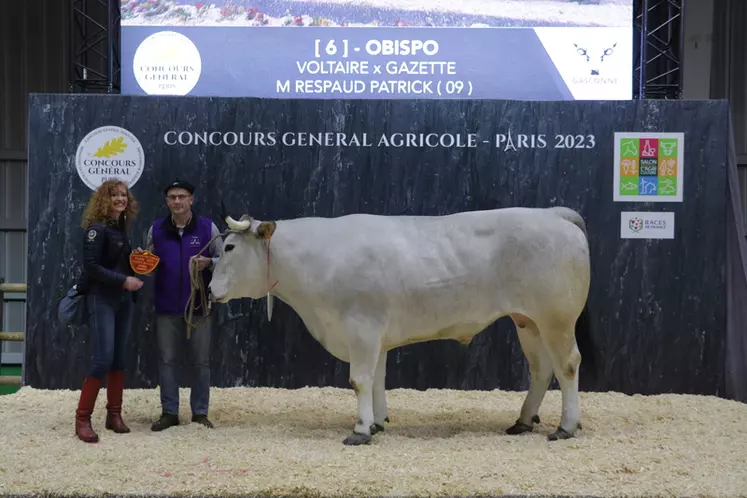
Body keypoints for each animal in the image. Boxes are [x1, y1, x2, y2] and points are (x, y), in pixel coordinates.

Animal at [210, 204, 596, 446]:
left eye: (229, 247)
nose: (211, 290)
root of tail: (552, 214)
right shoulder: (376, 335)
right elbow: (378, 379)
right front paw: (378, 422)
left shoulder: (362, 328)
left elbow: (359, 380)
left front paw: (361, 430)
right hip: (528, 321)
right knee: (541, 369)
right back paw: (522, 421)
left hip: (557, 317)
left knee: (567, 365)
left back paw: (565, 427)